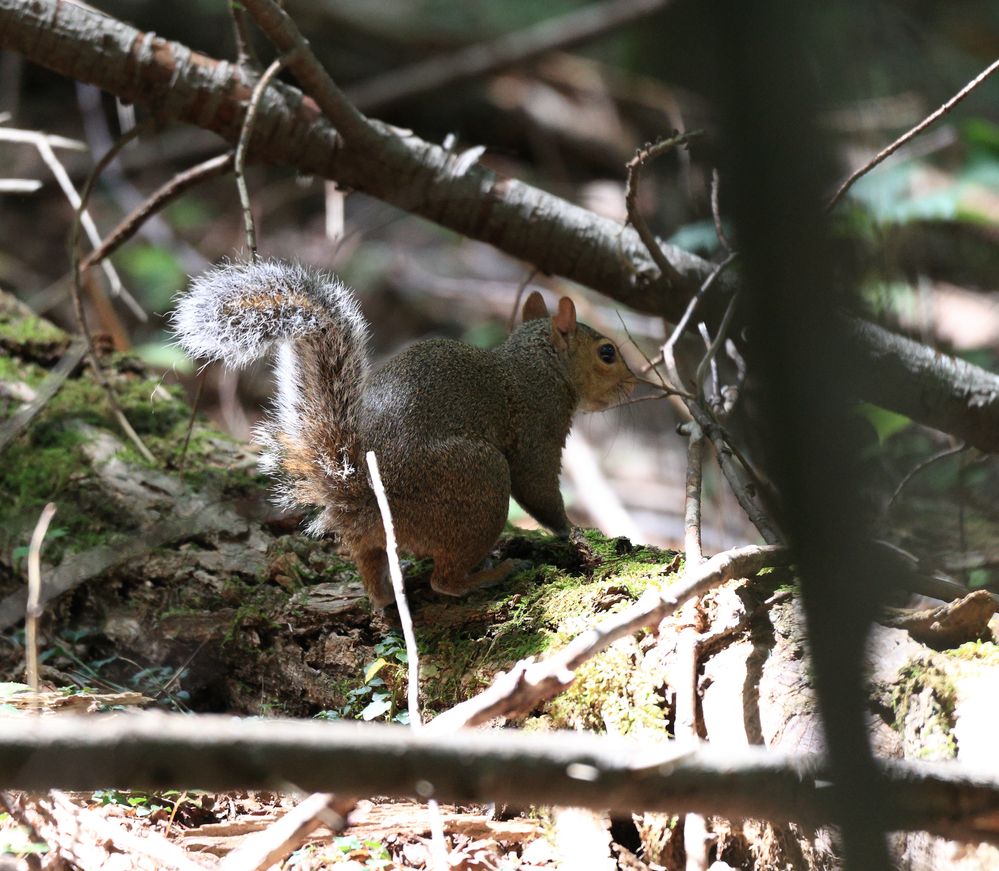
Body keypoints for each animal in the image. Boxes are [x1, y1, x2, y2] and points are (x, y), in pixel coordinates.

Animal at [174, 260, 632, 608]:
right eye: (607, 353)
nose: (634, 384)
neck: (537, 362)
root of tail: (360, 495)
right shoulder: (539, 423)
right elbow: (537, 487)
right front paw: (571, 530)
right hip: (478, 481)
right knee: (444, 580)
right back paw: (489, 573)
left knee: (374, 573)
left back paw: (387, 595)